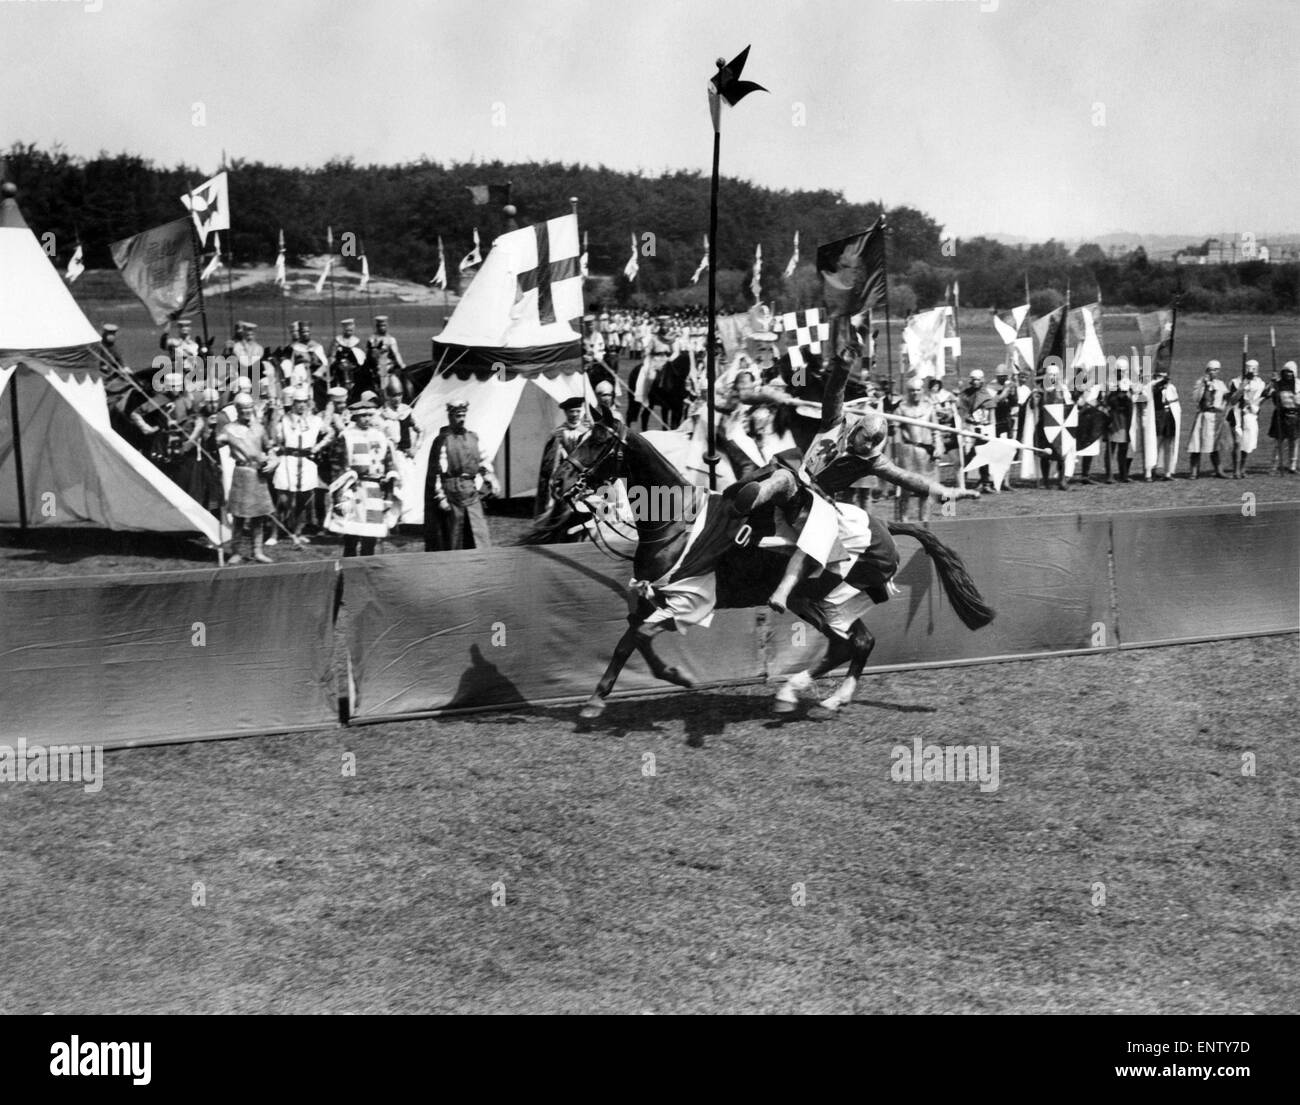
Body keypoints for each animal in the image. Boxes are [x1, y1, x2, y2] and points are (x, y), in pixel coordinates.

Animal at [535, 400, 993, 717]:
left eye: (599, 442)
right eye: (580, 437)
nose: (558, 481)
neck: (675, 521)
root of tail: (883, 527)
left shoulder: (688, 599)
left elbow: (643, 637)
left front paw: (678, 676)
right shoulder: (651, 596)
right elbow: (627, 640)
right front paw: (597, 699)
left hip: (817, 597)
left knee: (848, 644)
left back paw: (801, 694)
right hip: (825, 602)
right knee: (854, 643)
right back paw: (816, 698)